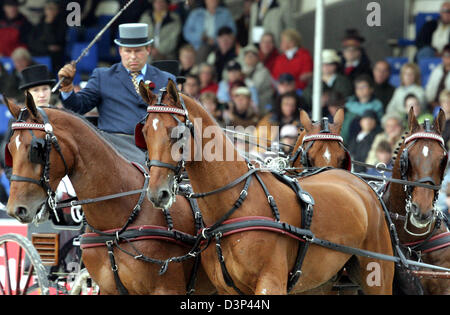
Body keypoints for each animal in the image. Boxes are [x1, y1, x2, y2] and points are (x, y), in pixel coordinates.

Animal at [136, 80, 394, 296]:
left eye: (177, 133)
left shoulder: (271, 283)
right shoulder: (228, 290)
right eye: (145, 132)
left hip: (377, 274)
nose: (157, 193)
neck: (234, 204)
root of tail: (364, 185)